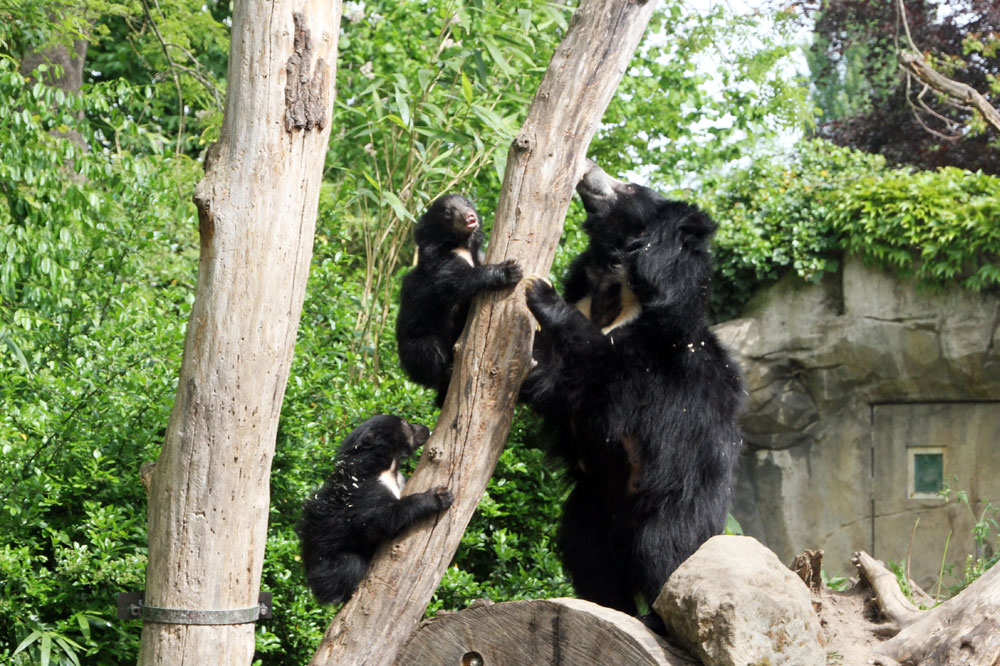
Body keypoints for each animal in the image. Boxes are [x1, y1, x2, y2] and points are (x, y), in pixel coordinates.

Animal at [296, 414, 453, 604]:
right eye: (405, 423)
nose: (426, 428)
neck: (389, 466)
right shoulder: (365, 490)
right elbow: (378, 521)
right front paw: (439, 496)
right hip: (327, 564)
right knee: (349, 566)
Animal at [396, 194, 522, 405]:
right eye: (448, 212)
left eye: (465, 202)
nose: (469, 216)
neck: (462, 244)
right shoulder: (442, 261)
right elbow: (454, 282)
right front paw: (509, 270)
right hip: (419, 342)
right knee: (429, 350)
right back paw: (447, 372)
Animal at [520, 159, 745, 619]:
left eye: (629, 187)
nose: (587, 165)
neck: (616, 283)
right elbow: (549, 382)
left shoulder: (652, 367)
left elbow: (591, 367)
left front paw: (541, 290)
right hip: (591, 506)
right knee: (586, 552)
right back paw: (608, 606)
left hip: (672, 500)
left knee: (664, 552)